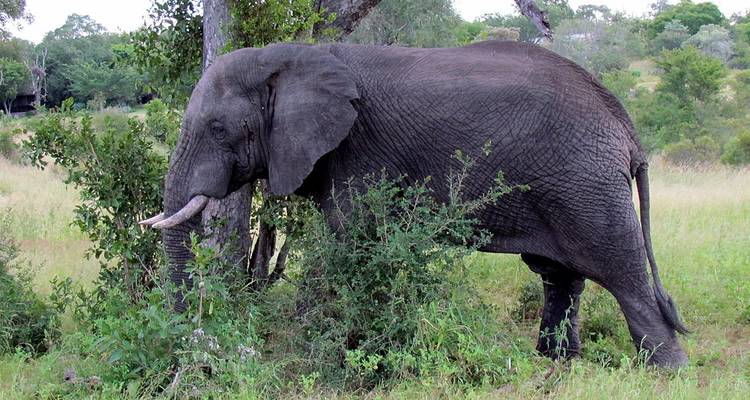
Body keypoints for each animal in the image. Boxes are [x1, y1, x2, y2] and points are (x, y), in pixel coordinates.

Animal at [140, 40, 689, 367]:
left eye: (218, 129)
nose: (196, 342)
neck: (294, 55)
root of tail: (628, 130)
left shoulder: (359, 149)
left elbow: (347, 242)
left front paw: (317, 351)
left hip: (587, 185)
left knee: (624, 276)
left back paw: (665, 374)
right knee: (561, 276)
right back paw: (555, 363)